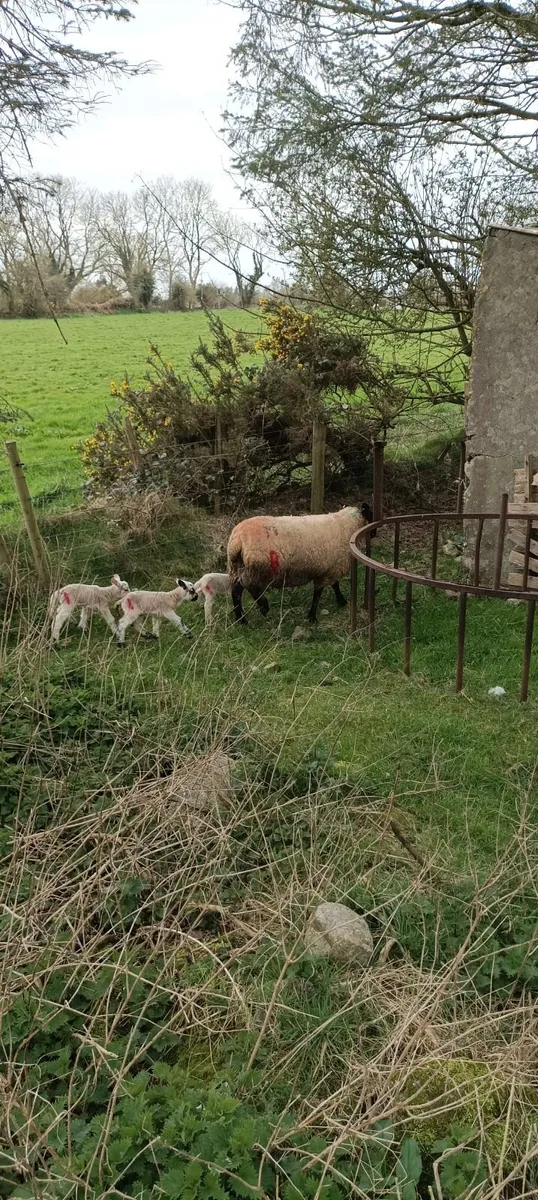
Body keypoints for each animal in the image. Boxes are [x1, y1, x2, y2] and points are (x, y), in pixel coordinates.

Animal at [227, 502, 374, 624]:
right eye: (371, 515)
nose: (374, 533)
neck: (347, 525)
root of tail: (237, 539)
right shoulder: (331, 569)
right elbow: (319, 593)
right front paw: (313, 616)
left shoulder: (329, 568)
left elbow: (334, 586)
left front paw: (340, 601)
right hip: (257, 568)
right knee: (251, 588)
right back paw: (263, 607)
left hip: (238, 567)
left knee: (236, 592)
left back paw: (241, 619)